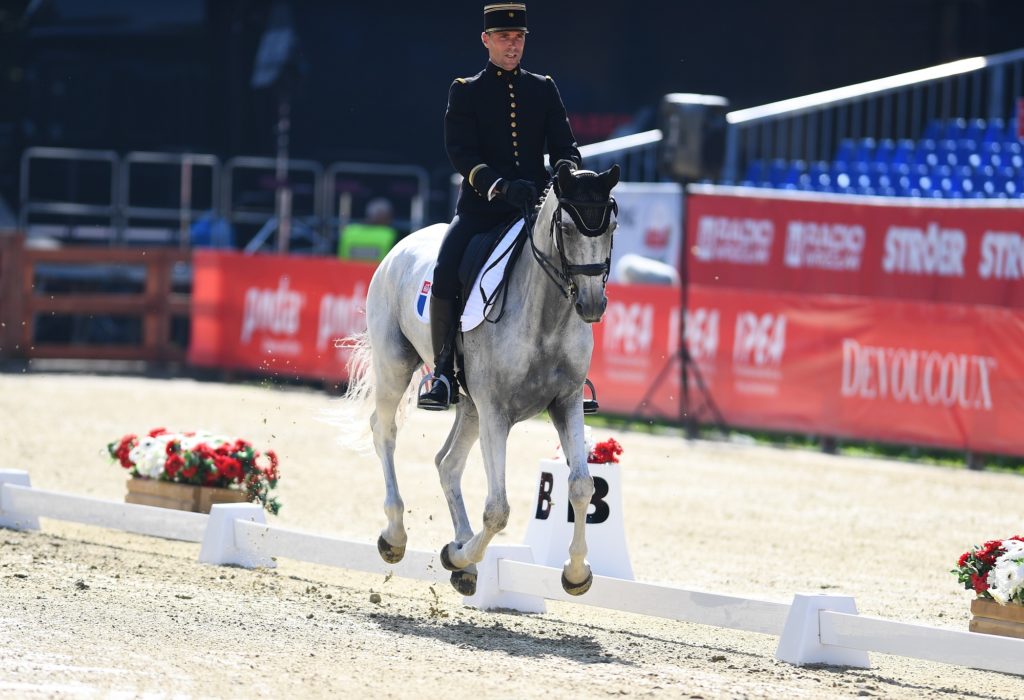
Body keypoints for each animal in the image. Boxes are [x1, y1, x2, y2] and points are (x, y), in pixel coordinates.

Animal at [346, 163, 614, 597]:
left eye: (611, 226)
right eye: (567, 227)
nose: (591, 305)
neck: (546, 315)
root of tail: (403, 244)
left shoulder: (567, 402)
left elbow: (582, 487)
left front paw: (576, 574)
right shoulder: (496, 411)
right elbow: (498, 510)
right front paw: (456, 555)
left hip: (470, 405)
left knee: (447, 463)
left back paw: (464, 561)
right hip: (395, 365)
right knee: (384, 432)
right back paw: (396, 537)